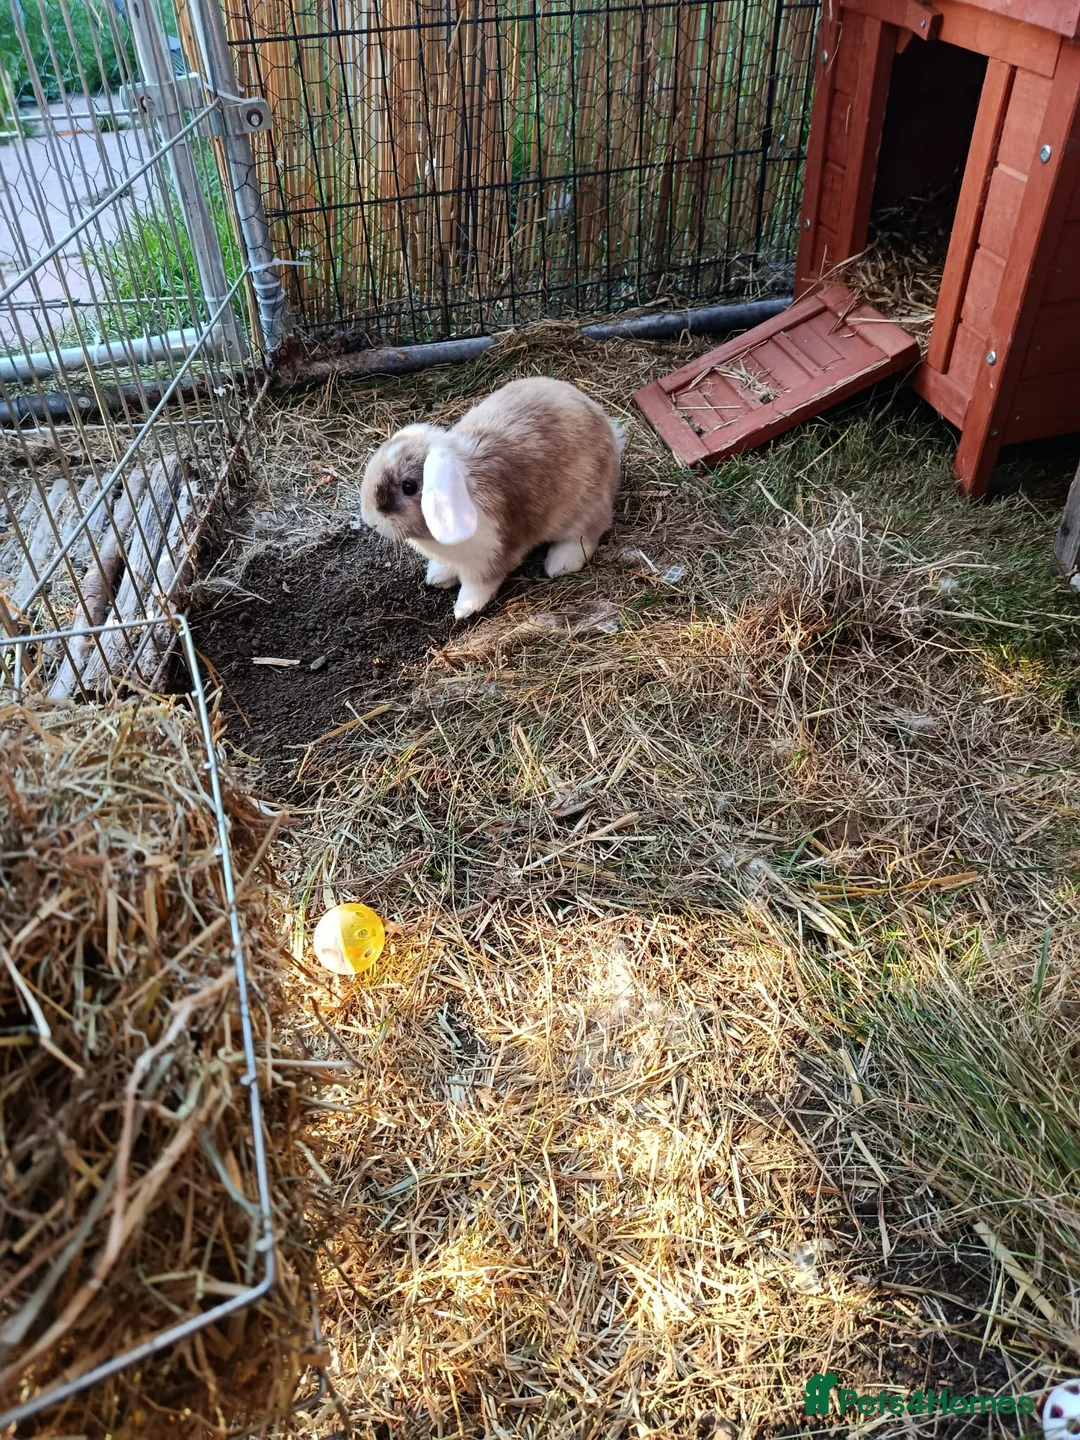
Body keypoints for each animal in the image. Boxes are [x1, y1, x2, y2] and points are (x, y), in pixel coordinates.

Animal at [360, 377, 626, 620]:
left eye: (408, 487)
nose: (371, 521)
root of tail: (607, 429)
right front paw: (437, 577)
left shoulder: (490, 558)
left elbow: (479, 586)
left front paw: (464, 610)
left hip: (584, 508)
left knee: (586, 535)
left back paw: (559, 564)